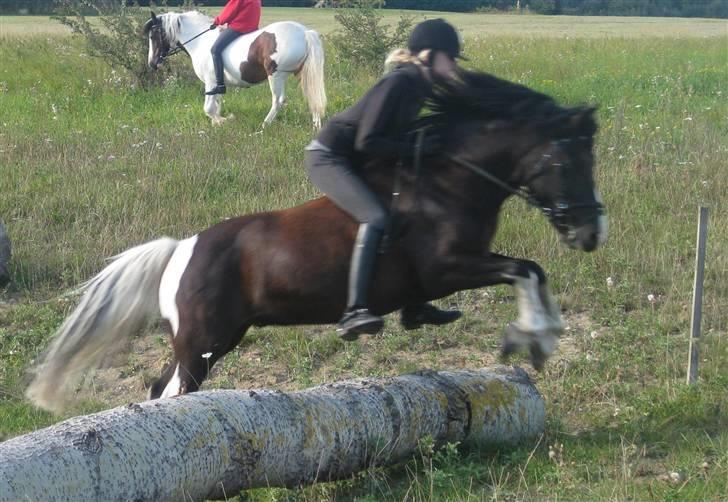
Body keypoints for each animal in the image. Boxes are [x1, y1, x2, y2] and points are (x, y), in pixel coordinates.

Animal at [26, 71, 606, 412]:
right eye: (569, 161)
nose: (592, 232)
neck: (452, 180)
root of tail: (181, 248)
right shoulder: (449, 267)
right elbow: (526, 268)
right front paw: (536, 337)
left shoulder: (453, 271)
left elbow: (531, 270)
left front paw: (539, 335)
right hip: (202, 341)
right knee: (174, 391)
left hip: (213, 340)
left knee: (159, 388)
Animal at [144, 11, 326, 128]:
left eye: (152, 36)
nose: (152, 64)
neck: (200, 40)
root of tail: (304, 32)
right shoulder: (217, 85)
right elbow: (216, 104)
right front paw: (218, 122)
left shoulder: (210, 82)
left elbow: (208, 108)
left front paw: (223, 120)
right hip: (303, 73)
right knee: (312, 95)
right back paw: (316, 125)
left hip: (276, 75)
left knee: (278, 100)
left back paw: (265, 125)